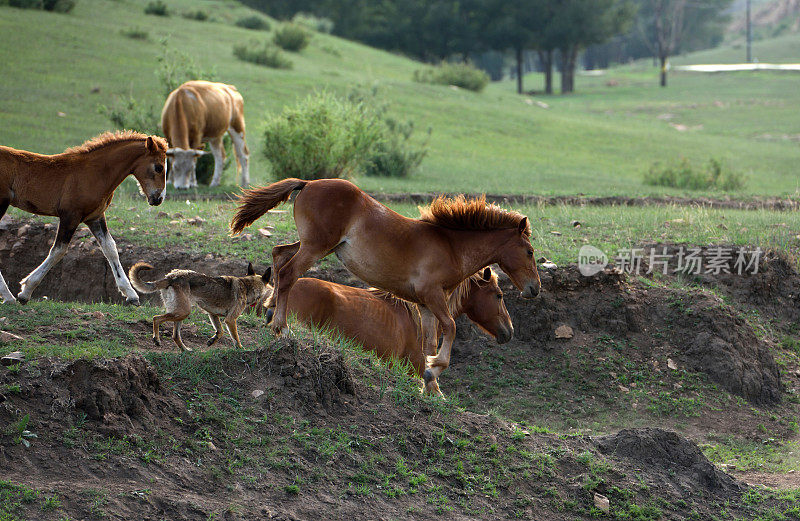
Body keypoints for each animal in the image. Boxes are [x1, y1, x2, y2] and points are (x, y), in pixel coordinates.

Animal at [0, 129, 169, 304]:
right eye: (158, 167)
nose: (159, 198)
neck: (95, 173)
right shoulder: (70, 216)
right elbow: (58, 251)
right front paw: (26, 291)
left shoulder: (95, 217)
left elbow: (110, 248)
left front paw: (131, 294)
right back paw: (9, 297)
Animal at [129, 262, 272, 352]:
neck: (247, 285)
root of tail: (171, 277)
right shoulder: (230, 320)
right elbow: (235, 337)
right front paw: (241, 349)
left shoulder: (213, 314)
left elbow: (220, 332)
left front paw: (212, 340)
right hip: (183, 312)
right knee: (156, 318)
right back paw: (156, 339)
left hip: (180, 313)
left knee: (175, 336)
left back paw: (185, 350)